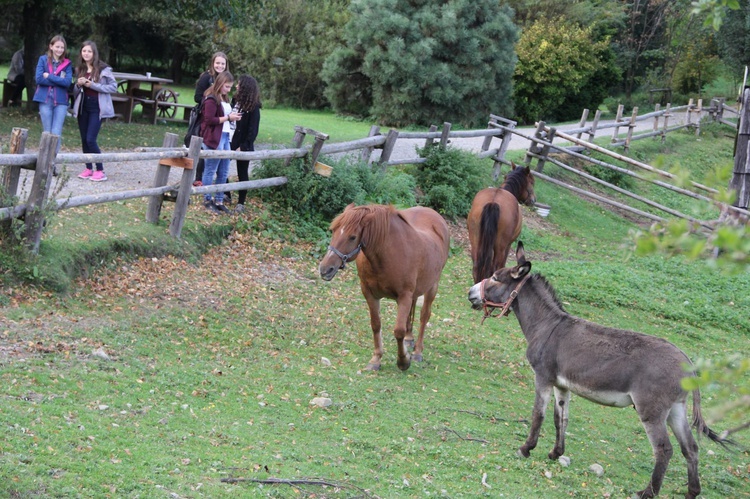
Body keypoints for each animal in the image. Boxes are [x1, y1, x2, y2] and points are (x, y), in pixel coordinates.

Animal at [318, 203, 450, 372]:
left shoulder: (404, 296)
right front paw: (376, 359)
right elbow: (376, 325)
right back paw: (409, 339)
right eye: (334, 230)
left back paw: (417, 352)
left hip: (432, 286)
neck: (387, 255)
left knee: (424, 316)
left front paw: (403, 361)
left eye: (352, 237)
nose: (325, 269)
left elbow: (399, 330)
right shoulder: (370, 294)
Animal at [468, 241, 732, 496]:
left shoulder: (543, 376)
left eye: (495, 277)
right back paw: (692, 492)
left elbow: (538, 414)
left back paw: (647, 492)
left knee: (664, 449)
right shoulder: (562, 384)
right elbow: (560, 418)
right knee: (691, 447)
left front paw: (525, 448)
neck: (546, 325)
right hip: (676, 408)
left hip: (651, 409)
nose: (470, 293)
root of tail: (688, 362)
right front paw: (555, 453)